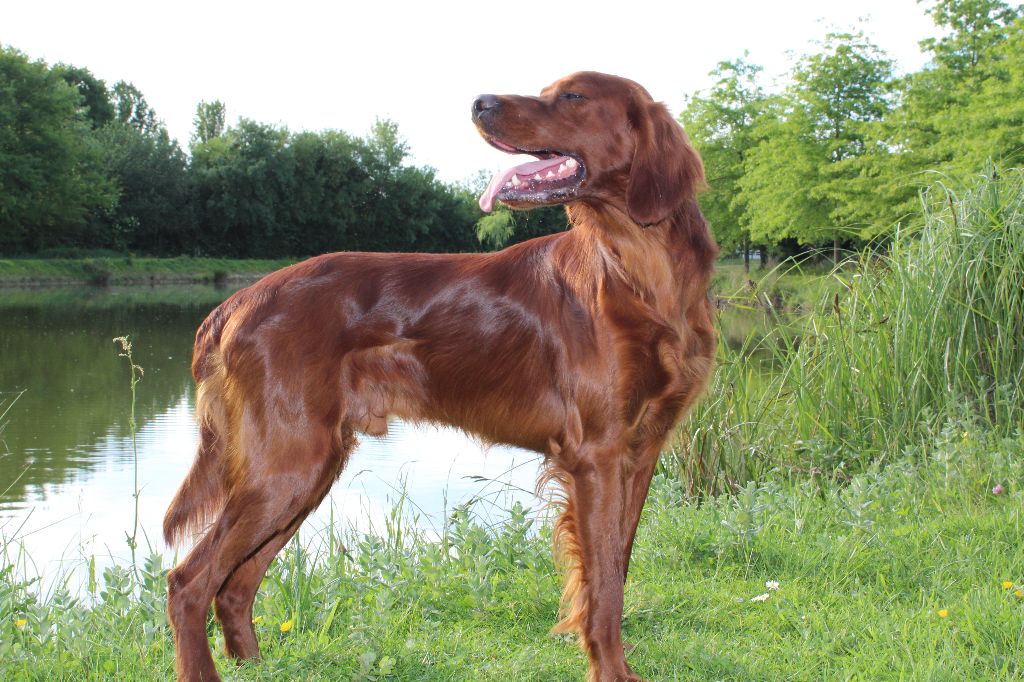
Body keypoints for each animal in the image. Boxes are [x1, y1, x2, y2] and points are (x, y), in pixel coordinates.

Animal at [163, 70, 716, 679]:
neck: (639, 268)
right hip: (286, 465)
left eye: (573, 96)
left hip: (305, 470)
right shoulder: (597, 454)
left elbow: (616, 567)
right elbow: (604, 587)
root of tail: (236, 302)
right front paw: (611, 670)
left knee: (235, 585)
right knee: (188, 581)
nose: (480, 102)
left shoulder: (639, 451)